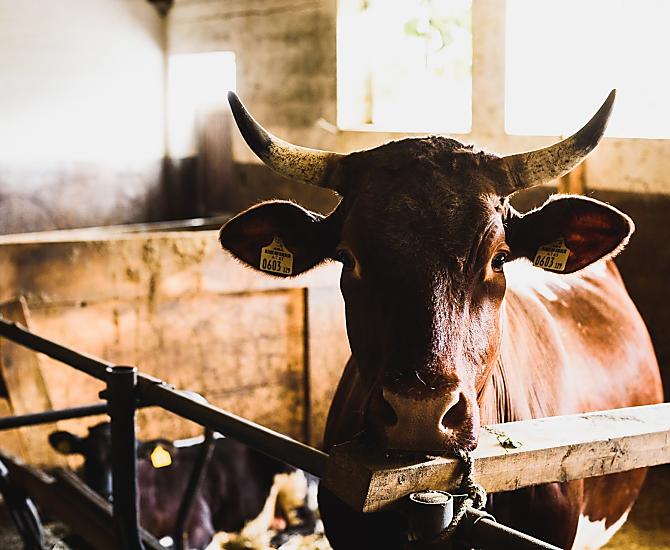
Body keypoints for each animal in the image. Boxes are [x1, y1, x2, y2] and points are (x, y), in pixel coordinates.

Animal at [49, 423, 316, 549]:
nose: (106, 492)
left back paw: (280, 538)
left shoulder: (199, 522)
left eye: (133, 457)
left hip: (292, 483)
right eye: (87, 455)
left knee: (309, 522)